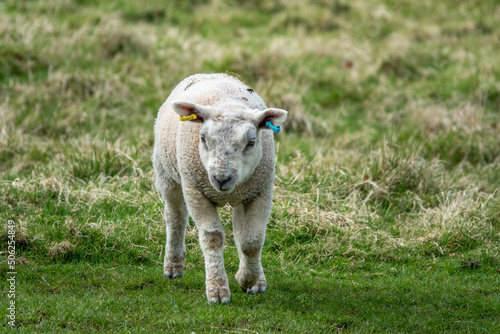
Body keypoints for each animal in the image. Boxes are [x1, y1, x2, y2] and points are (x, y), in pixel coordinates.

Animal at [152, 74, 288, 304]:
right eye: (203, 138)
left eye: (251, 142)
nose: (221, 178)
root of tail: (212, 73)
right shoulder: (195, 191)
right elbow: (212, 237)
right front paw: (217, 289)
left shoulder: (261, 191)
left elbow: (252, 240)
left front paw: (248, 280)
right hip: (168, 175)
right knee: (175, 217)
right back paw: (173, 266)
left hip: (244, 193)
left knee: (240, 228)